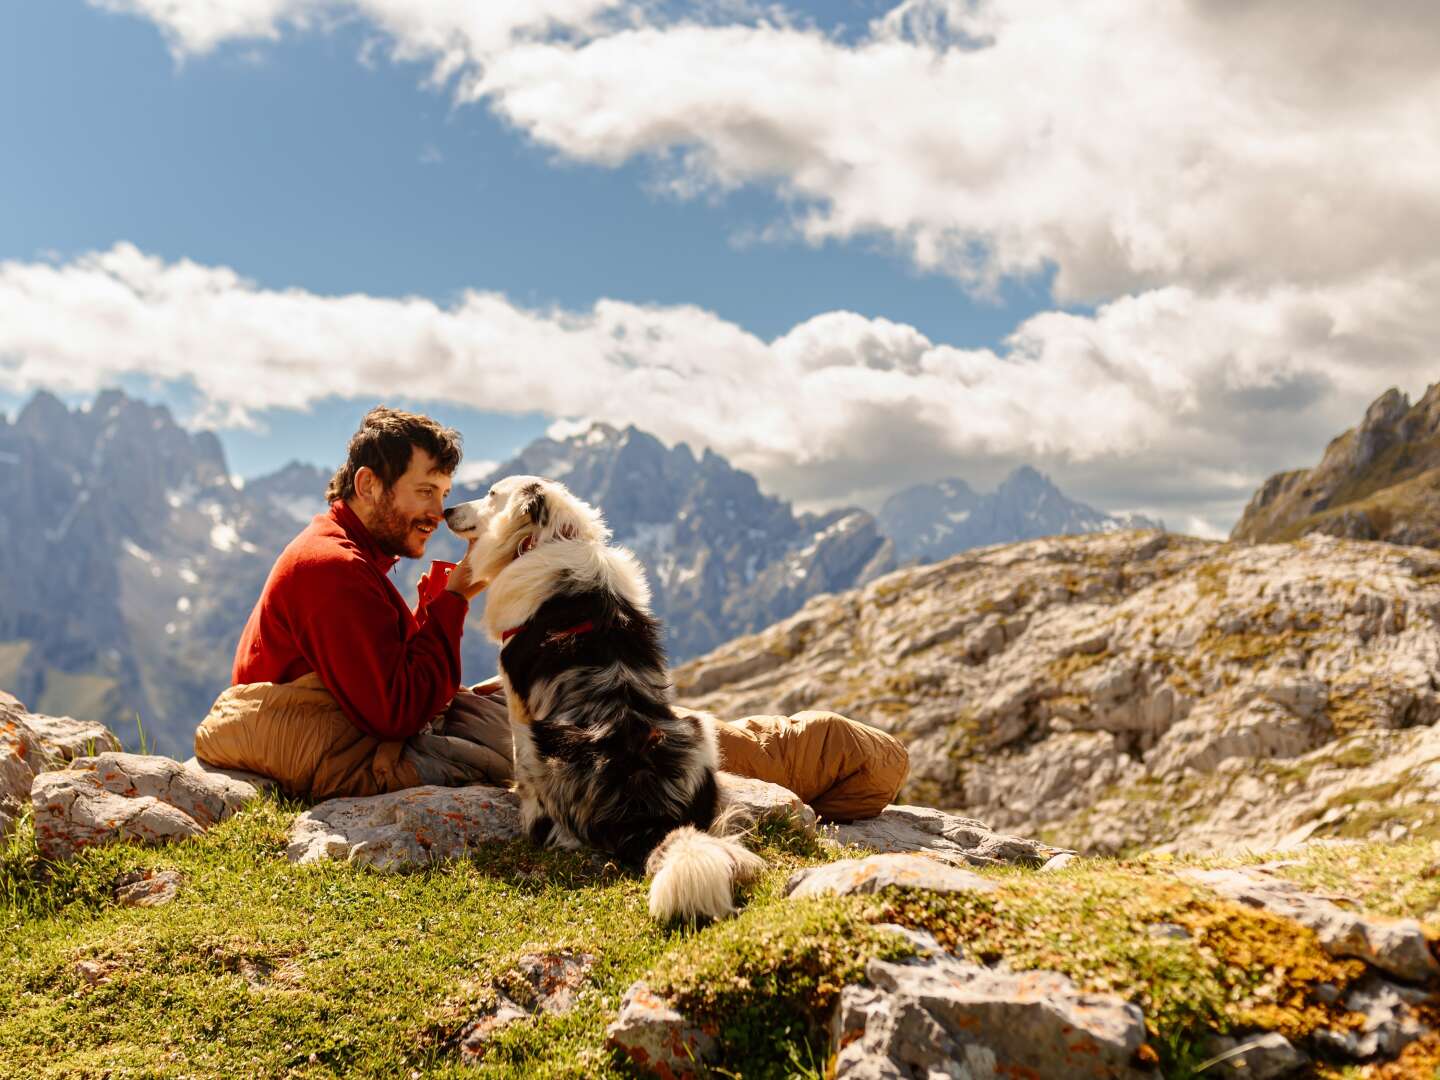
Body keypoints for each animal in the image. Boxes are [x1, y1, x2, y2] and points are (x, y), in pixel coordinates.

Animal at [443, 475, 766, 921]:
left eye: (491, 494)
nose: (446, 510)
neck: (546, 538)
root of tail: (648, 812)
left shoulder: (516, 699)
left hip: (543, 745)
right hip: (697, 728)